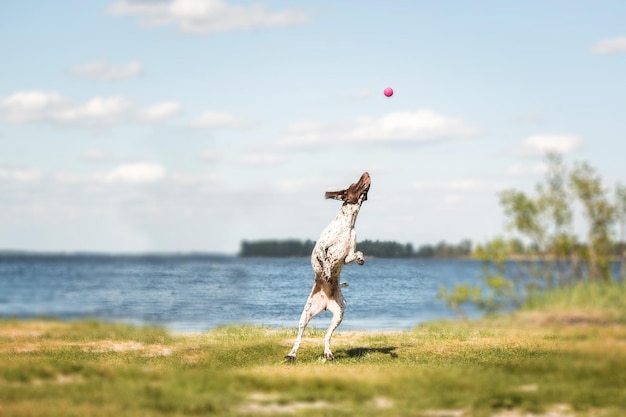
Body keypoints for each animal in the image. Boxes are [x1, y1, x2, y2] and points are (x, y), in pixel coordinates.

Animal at [284, 171, 368, 360]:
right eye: (355, 183)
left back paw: (328, 353)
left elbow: (357, 254)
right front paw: (327, 273)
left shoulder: (347, 256)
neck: (348, 224)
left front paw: (361, 259)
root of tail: (324, 304)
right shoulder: (319, 249)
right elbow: (325, 259)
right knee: (299, 338)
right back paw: (292, 354)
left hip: (339, 314)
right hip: (305, 316)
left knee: (327, 335)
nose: (366, 173)